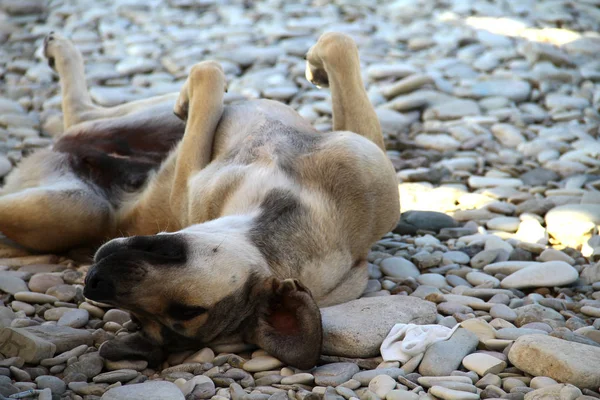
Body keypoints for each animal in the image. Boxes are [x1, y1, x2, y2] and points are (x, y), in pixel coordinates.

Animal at [1, 31, 404, 368]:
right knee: (83, 113)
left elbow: (209, 73)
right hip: (132, 126)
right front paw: (317, 64)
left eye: (185, 311)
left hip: (78, 209)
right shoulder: (363, 151)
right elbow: (338, 45)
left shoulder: (186, 183)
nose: (94, 283)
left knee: (79, 117)